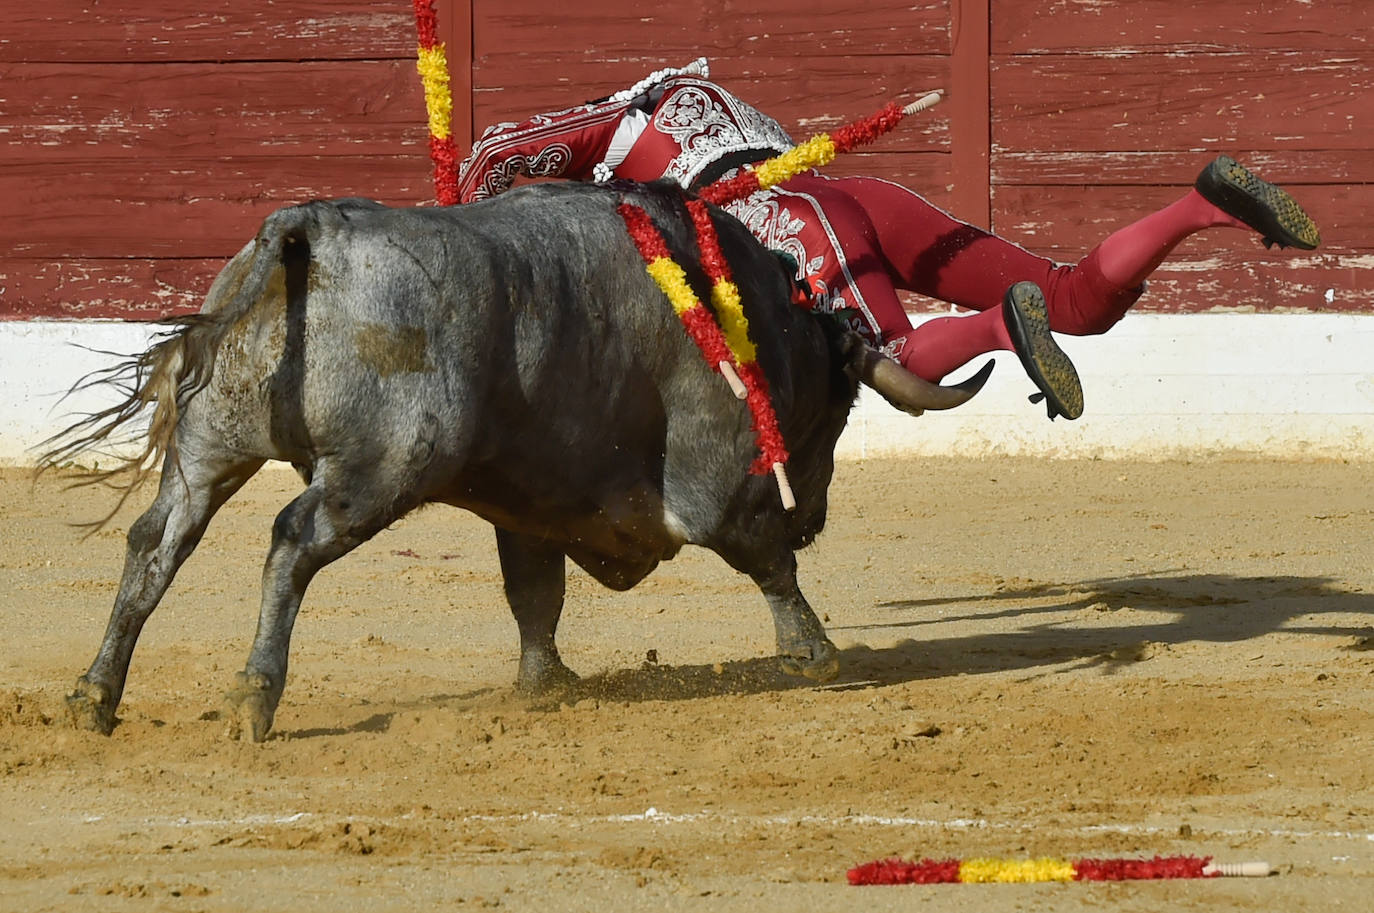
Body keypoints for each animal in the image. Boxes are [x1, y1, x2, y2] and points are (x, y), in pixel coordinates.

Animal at [45, 180, 989, 742]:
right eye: (836, 411)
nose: (816, 514)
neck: (752, 313)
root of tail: (306, 225)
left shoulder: (529, 500)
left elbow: (534, 589)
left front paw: (548, 683)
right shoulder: (720, 481)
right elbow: (767, 562)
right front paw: (816, 654)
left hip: (208, 448)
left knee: (156, 543)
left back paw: (95, 694)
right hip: (379, 468)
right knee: (290, 540)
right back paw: (253, 696)